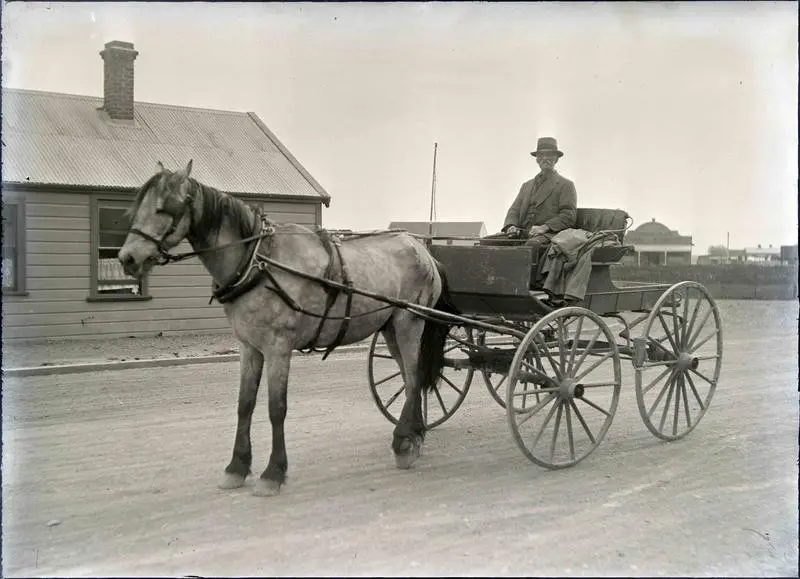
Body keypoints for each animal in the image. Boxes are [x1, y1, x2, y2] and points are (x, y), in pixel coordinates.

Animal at [118, 161, 456, 496]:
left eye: (164, 208)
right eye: (135, 209)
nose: (127, 258)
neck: (258, 263)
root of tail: (422, 250)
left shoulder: (278, 347)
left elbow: (276, 408)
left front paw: (273, 472)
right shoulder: (249, 347)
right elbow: (245, 405)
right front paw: (236, 467)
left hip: (409, 322)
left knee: (413, 378)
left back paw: (405, 443)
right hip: (389, 327)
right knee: (408, 377)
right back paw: (414, 434)